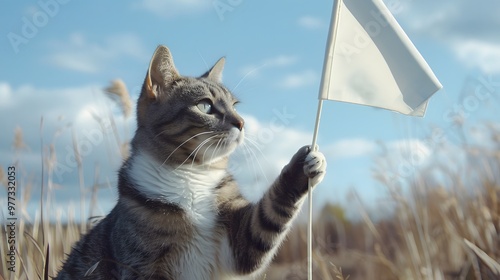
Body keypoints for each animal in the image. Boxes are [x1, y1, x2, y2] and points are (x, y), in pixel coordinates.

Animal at [55, 44, 328, 278]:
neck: (190, 173)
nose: (242, 123)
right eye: (205, 106)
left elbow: (267, 217)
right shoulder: (141, 265)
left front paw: (304, 166)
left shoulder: (240, 244)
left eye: (235, 105)